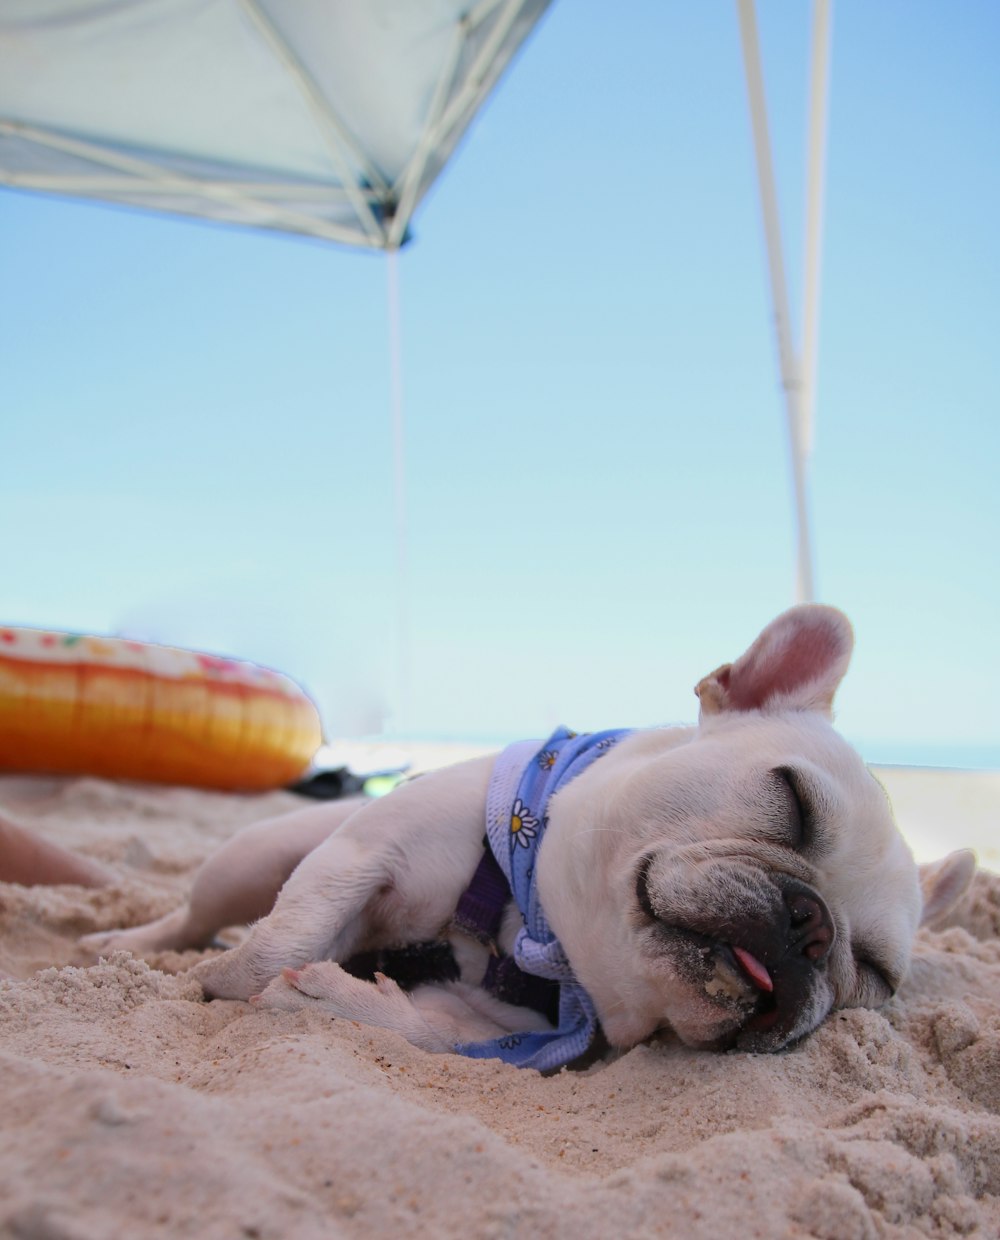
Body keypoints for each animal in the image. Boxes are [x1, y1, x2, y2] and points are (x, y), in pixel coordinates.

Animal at [82, 605, 972, 1071]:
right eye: (791, 801)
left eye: (877, 977)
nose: (811, 925)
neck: (536, 930)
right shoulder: (361, 854)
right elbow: (281, 941)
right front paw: (228, 979)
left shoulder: (498, 1024)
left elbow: (426, 1030)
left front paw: (338, 998)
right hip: (255, 855)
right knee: (198, 914)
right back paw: (125, 942)